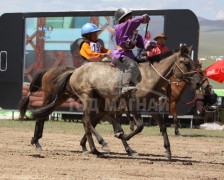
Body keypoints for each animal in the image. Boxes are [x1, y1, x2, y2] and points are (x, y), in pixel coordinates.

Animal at [31, 44, 201, 160]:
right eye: (187, 63)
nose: (199, 82)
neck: (148, 77)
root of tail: (75, 71)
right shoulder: (132, 105)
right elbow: (139, 126)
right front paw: (124, 138)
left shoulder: (151, 107)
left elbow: (162, 126)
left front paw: (168, 151)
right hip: (87, 97)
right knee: (86, 121)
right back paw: (99, 146)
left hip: (93, 100)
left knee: (87, 122)